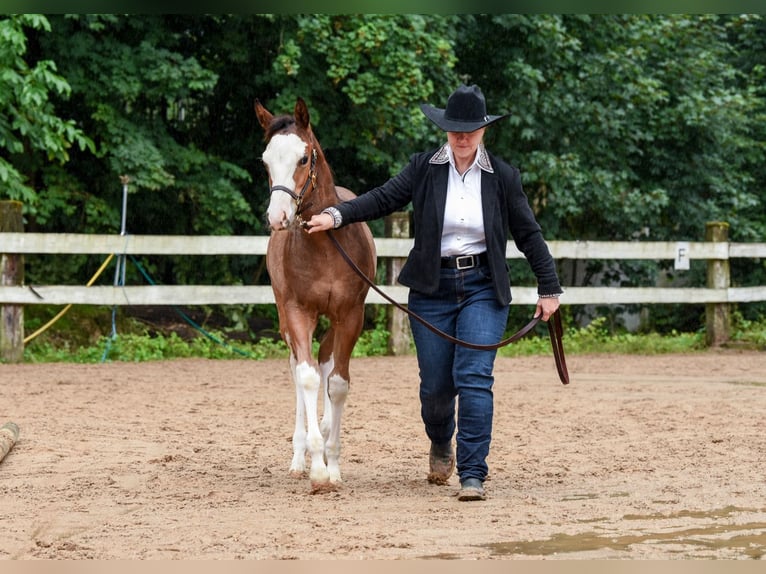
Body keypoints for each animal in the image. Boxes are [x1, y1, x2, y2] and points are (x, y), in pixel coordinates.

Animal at [254, 97, 377, 492]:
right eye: (266, 160)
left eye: (304, 158)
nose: (277, 217)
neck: (325, 247)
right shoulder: (297, 312)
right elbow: (306, 377)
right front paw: (317, 467)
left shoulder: (350, 315)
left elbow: (337, 383)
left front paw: (332, 464)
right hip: (285, 318)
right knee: (298, 367)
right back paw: (300, 457)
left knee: (325, 360)